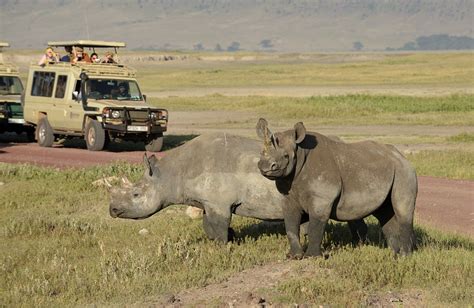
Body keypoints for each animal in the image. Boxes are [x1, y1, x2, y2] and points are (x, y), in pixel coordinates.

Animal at [108, 134, 366, 244]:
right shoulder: (209, 202)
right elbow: (208, 225)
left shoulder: (219, 203)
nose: (112, 210)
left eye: (136, 195)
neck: (171, 174)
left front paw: (223, 245)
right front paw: (228, 240)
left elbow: (218, 226)